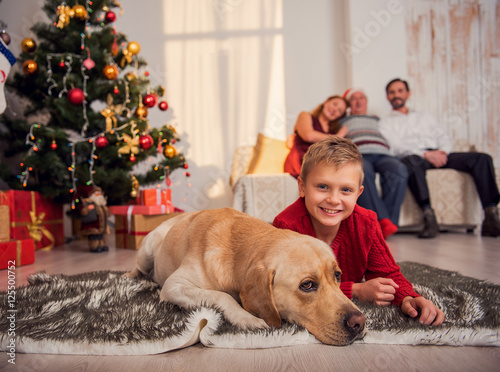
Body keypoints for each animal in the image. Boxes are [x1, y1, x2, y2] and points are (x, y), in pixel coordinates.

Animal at [127, 208, 366, 344]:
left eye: (337, 275)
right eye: (307, 285)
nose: (360, 322)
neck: (238, 250)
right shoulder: (174, 285)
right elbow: (222, 296)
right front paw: (247, 318)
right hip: (147, 249)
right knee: (140, 268)